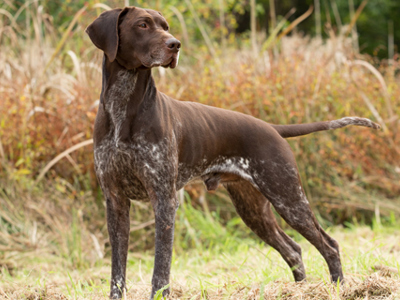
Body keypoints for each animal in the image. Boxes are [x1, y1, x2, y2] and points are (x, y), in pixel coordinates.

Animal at [86, 6, 380, 298]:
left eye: (166, 26)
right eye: (143, 25)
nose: (175, 45)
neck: (124, 108)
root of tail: (272, 128)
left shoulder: (164, 200)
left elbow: (161, 269)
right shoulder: (115, 201)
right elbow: (117, 272)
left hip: (289, 199)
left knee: (329, 245)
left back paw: (338, 287)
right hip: (254, 209)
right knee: (294, 249)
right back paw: (299, 289)